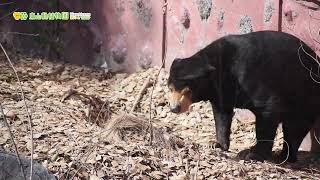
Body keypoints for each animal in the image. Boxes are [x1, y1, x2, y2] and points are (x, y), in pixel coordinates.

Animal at [168, 30, 320, 162]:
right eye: (170, 89)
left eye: (186, 89)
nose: (174, 108)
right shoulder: (221, 90)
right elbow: (221, 114)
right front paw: (217, 144)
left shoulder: (253, 77)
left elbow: (268, 110)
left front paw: (254, 154)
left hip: (303, 94)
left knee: (295, 126)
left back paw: (284, 157)